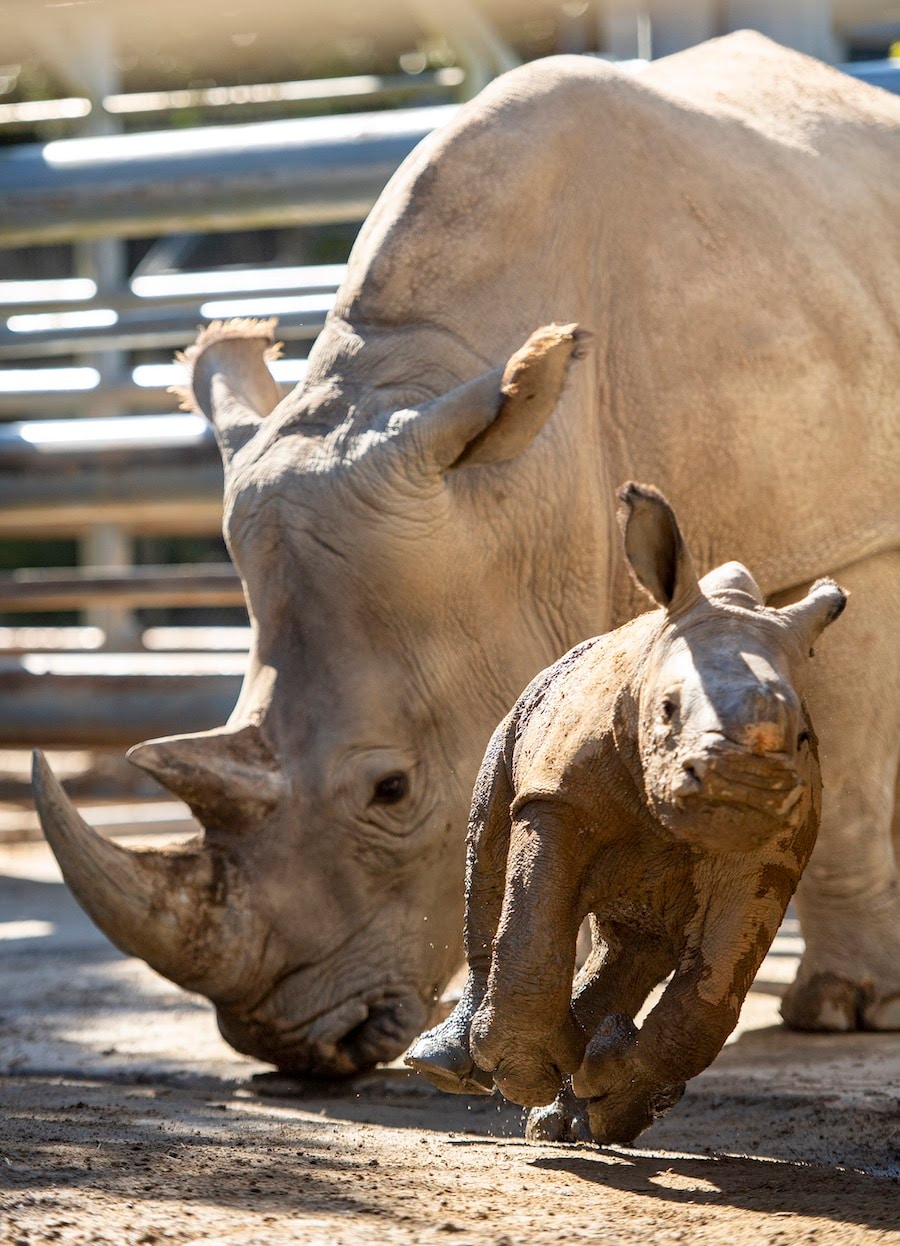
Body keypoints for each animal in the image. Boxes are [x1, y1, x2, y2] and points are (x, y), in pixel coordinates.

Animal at [33, 32, 900, 1077]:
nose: (288, 1041)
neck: (525, 491)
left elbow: (845, 774)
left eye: (392, 790)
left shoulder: (845, 534)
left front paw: (845, 1010)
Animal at [407, 482, 847, 1144]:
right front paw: (526, 1074)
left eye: (798, 737)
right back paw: (451, 1068)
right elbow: (533, 926)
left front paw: (609, 1092)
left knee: (640, 936)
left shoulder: (771, 850)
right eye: (666, 710)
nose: (743, 786)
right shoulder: (557, 795)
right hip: (521, 711)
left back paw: (578, 1104)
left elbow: (709, 998)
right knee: (488, 849)